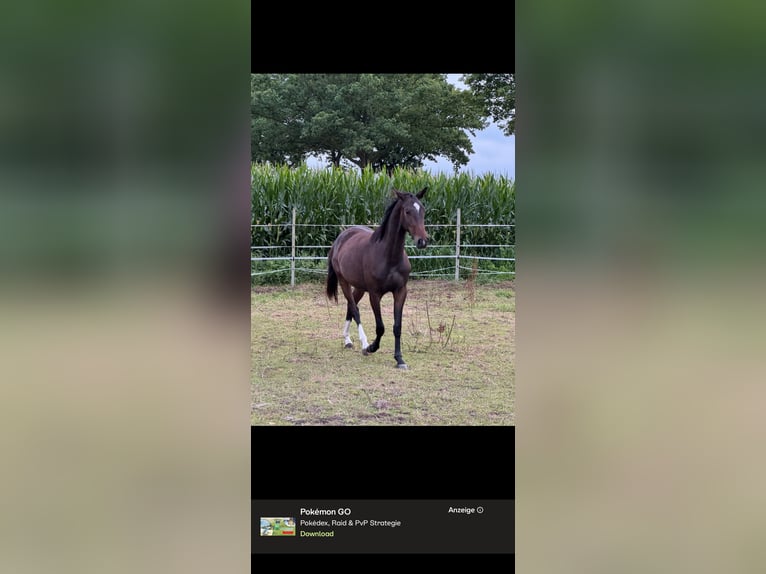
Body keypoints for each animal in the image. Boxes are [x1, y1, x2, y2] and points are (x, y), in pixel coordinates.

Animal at [326, 188, 428, 369]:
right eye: (407, 211)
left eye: (422, 210)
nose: (422, 241)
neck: (389, 256)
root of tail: (341, 237)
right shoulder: (375, 294)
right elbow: (380, 327)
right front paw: (372, 347)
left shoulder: (400, 292)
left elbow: (397, 326)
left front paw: (399, 359)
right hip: (344, 282)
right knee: (355, 309)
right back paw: (364, 343)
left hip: (359, 287)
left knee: (351, 307)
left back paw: (347, 340)